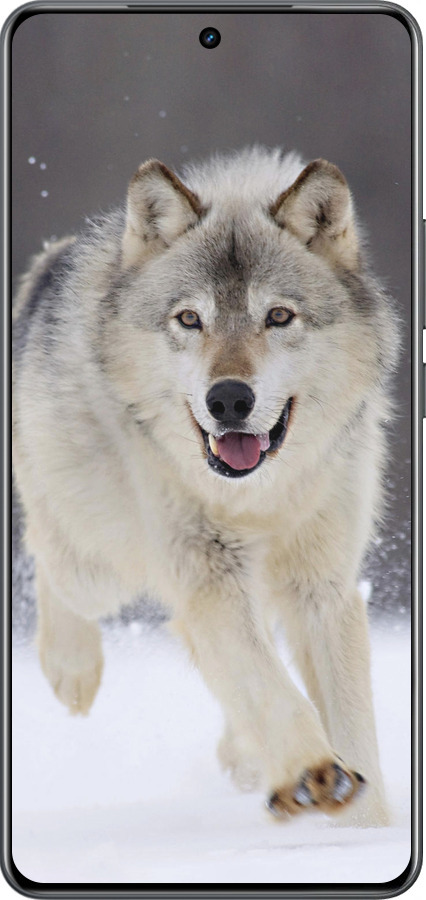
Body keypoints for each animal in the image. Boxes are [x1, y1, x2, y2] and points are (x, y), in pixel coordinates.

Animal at [12, 147, 398, 826]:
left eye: (278, 316)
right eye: (190, 319)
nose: (229, 399)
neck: (259, 497)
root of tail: (51, 260)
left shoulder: (322, 587)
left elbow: (349, 723)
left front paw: (365, 827)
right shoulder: (207, 573)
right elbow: (269, 686)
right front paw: (313, 773)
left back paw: (243, 757)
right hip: (100, 565)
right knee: (49, 556)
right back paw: (71, 671)